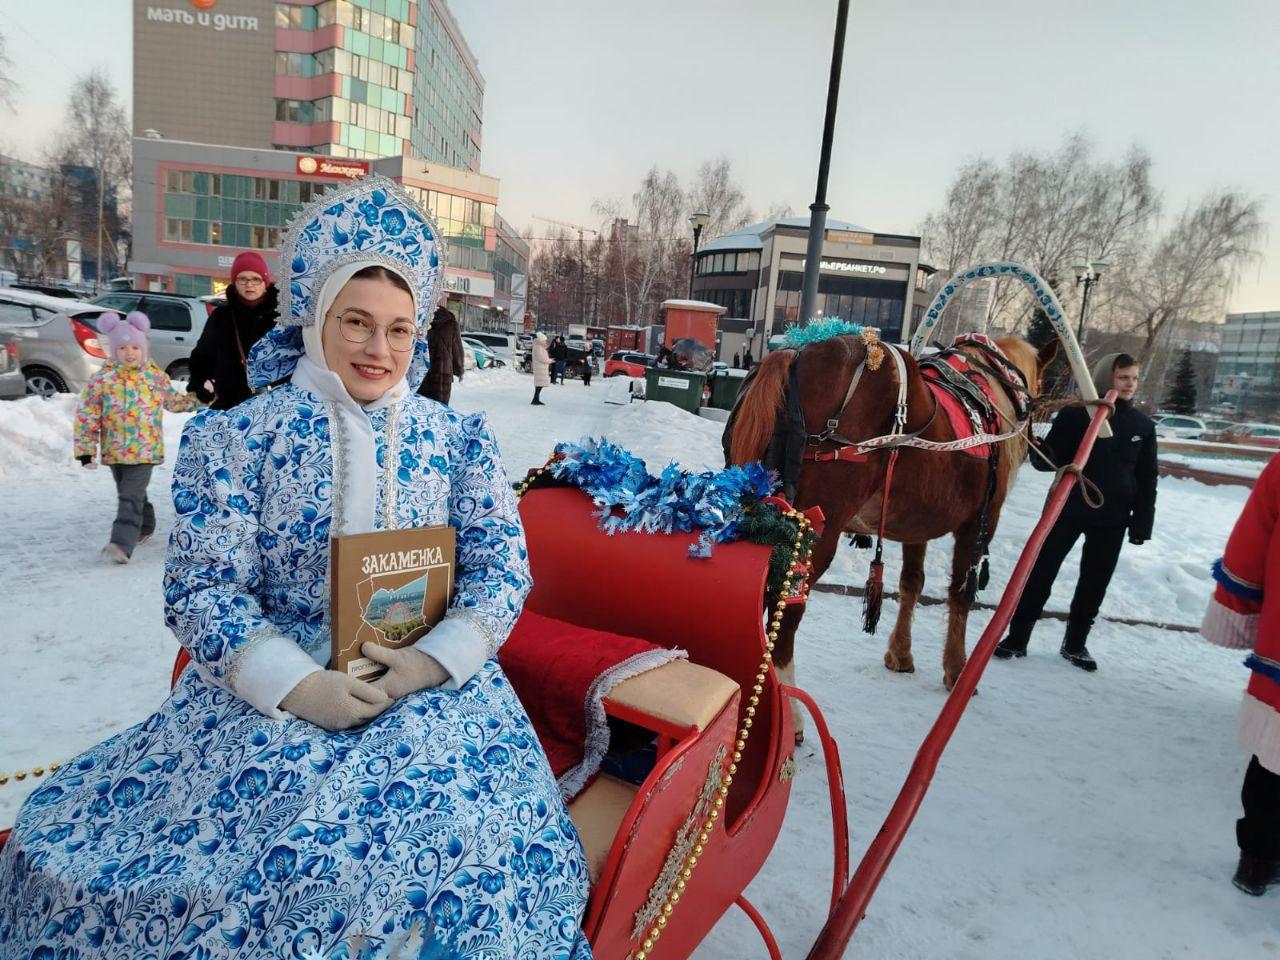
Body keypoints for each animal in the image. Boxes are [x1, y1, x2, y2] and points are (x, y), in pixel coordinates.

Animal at [727, 335, 1054, 711]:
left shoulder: (918, 526)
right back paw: (790, 713)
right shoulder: (980, 522)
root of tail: (795, 355)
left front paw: (900, 653)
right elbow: (960, 594)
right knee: (782, 622)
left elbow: (911, 582)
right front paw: (958, 672)